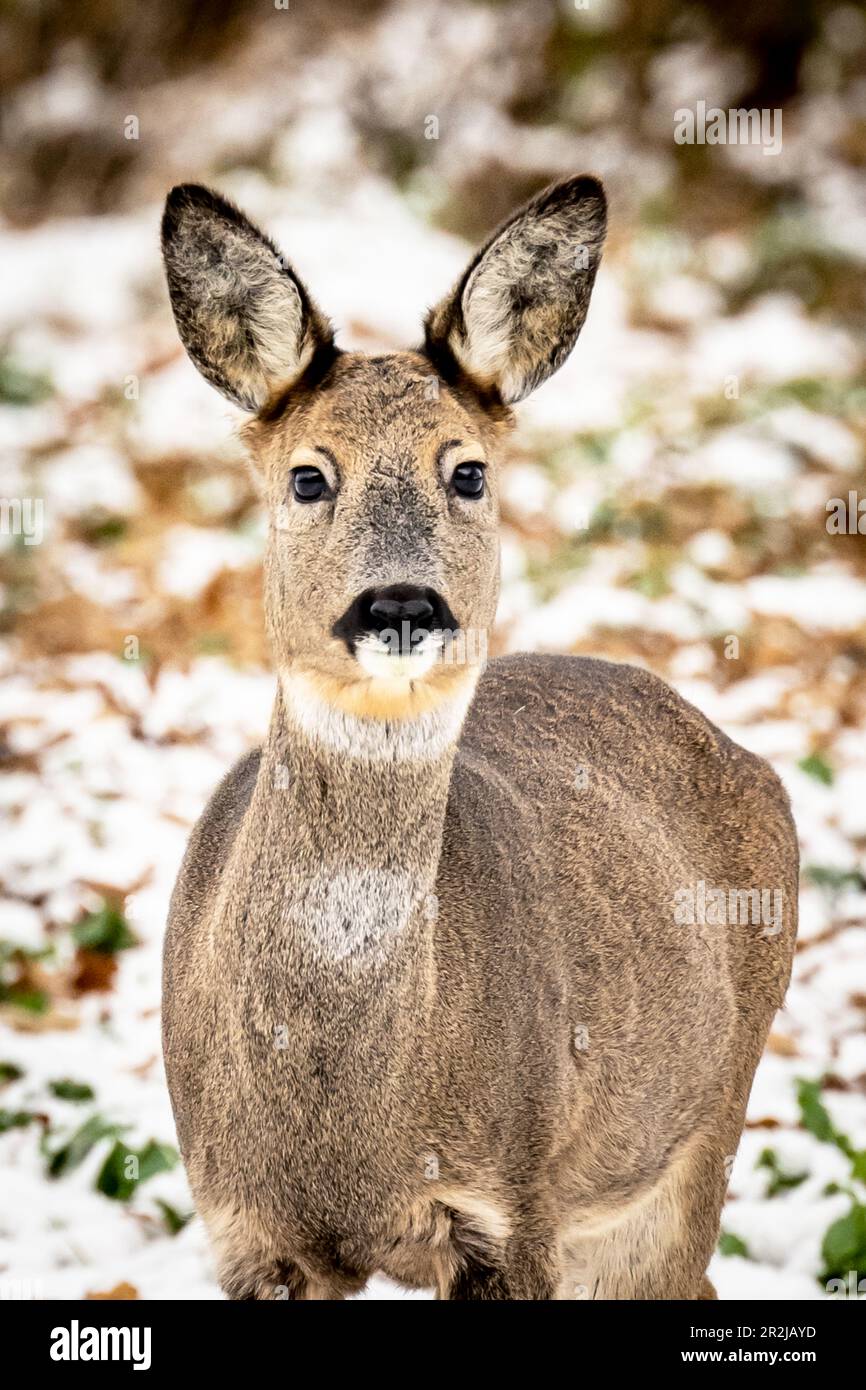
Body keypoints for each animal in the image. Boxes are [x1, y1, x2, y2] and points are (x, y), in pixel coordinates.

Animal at [160, 176, 798, 1300]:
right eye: (307, 477)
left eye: (465, 472)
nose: (400, 603)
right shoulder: (243, 1226)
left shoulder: (513, 1206)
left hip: (696, 1133)